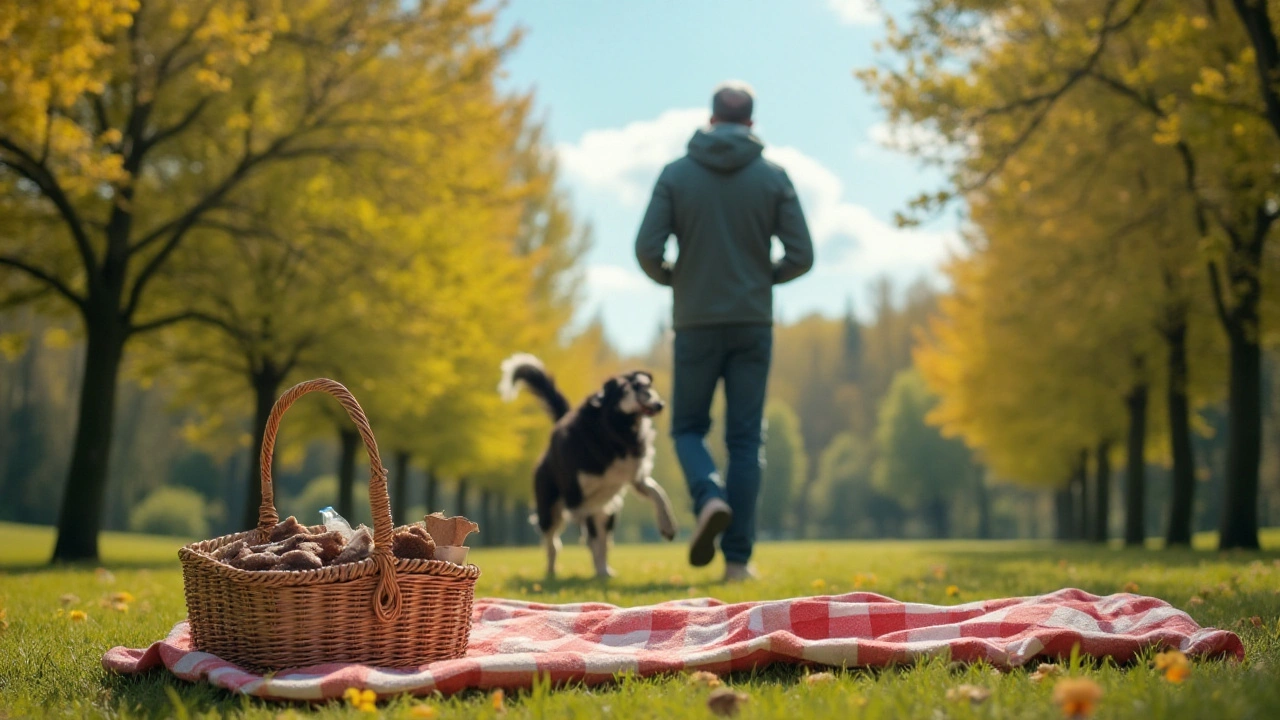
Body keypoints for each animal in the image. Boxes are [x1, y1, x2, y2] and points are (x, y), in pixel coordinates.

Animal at [496, 353, 680, 576]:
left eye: (648, 386)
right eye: (631, 388)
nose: (660, 404)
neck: (617, 431)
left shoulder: (636, 479)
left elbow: (658, 494)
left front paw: (668, 525)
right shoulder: (583, 501)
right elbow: (593, 541)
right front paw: (600, 570)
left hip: (609, 509)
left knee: (603, 539)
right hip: (549, 509)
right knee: (553, 543)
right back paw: (552, 571)